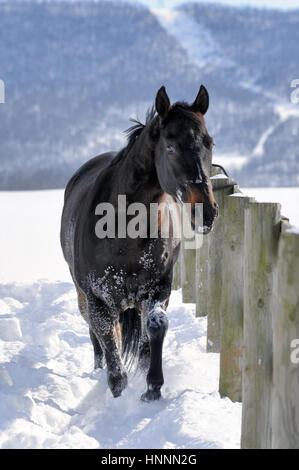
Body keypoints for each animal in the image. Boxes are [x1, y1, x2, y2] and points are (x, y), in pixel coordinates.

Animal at [60, 84, 218, 400]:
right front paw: (118, 394)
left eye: (210, 143)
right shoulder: (98, 300)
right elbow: (111, 349)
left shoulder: (158, 289)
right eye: (170, 147)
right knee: (97, 336)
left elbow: (155, 329)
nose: (205, 211)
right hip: (84, 295)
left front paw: (152, 388)